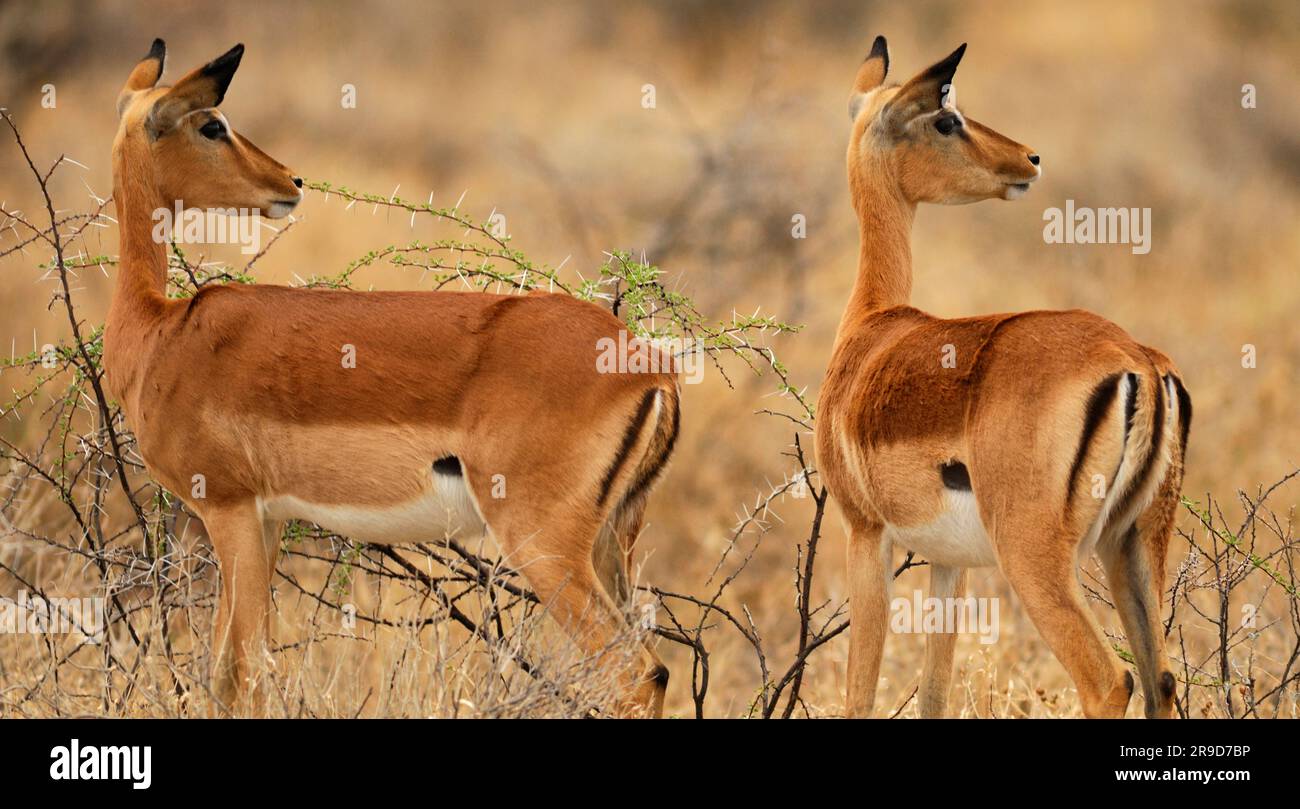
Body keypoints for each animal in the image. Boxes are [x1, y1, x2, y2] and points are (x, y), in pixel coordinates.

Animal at [107, 40, 679, 716]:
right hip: (610, 541)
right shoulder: (266, 520)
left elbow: (239, 672)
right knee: (654, 668)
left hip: (542, 542)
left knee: (634, 671)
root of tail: (650, 366)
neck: (158, 334)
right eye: (212, 125)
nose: (291, 182)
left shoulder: (231, 511)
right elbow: (232, 668)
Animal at [816, 37, 1191, 718]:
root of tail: (1138, 361)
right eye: (946, 120)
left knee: (1109, 680)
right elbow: (934, 693)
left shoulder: (864, 532)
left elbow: (859, 692)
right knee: (1162, 679)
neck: (872, 328)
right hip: (1132, 545)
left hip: (1034, 557)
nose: (1029, 158)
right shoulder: (949, 563)